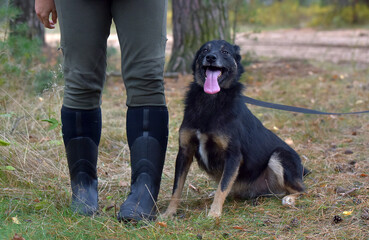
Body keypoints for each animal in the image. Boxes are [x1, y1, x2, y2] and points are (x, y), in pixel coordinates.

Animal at [163, 40, 308, 218]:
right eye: (205, 50)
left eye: (225, 52)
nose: (210, 57)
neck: (210, 100)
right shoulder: (184, 151)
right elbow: (177, 187)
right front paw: (169, 213)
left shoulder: (233, 155)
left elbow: (223, 186)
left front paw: (214, 215)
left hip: (280, 155)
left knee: (301, 189)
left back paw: (290, 198)